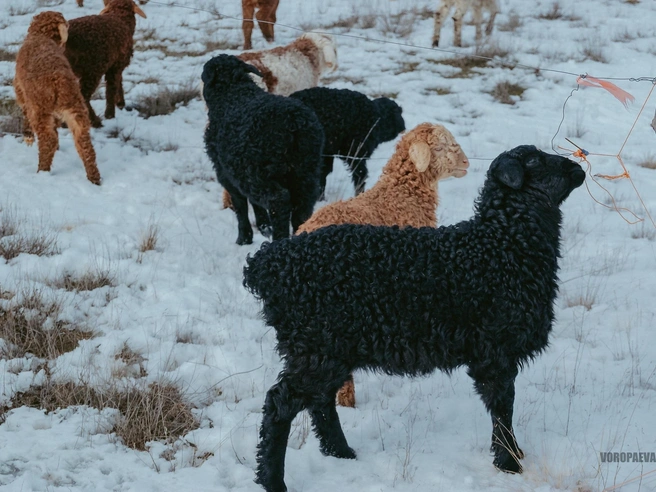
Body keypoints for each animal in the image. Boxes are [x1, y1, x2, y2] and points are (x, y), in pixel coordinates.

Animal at [14, 11, 101, 185]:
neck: (42, 36)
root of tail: (59, 82)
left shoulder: (20, 89)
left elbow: (24, 110)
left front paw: (28, 137)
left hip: (40, 110)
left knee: (48, 140)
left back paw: (42, 172)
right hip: (76, 111)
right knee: (84, 143)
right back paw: (94, 178)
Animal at [202, 54, 324, 245]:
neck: (233, 93)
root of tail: (294, 123)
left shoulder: (225, 173)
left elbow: (240, 204)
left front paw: (244, 237)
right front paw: (264, 226)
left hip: (259, 173)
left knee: (278, 201)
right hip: (305, 172)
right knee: (303, 207)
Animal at [243, 145, 586, 492]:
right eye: (533, 160)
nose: (579, 168)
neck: (501, 244)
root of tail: (268, 264)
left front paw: (513, 456)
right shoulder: (495, 353)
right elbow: (503, 409)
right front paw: (509, 463)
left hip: (326, 349)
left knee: (321, 401)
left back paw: (341, 452)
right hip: (314, 347)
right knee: (279, 405)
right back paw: (273, 479)